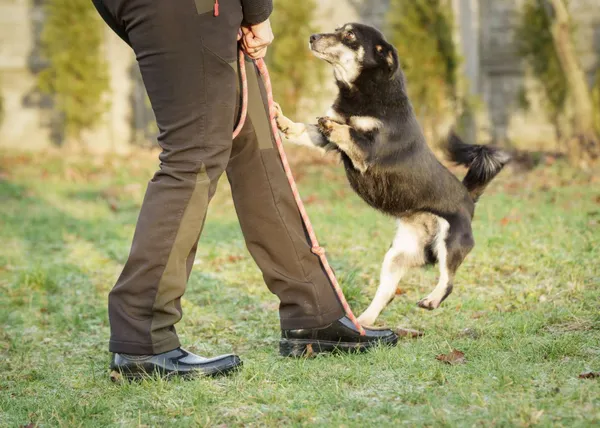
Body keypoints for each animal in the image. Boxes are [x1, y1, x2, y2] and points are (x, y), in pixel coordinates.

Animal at [274, 23, 508, 326]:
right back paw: (364, 321)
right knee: (387, 294)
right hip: (397, 256)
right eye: (337, 29)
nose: (312, 37)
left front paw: (331, 123)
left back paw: (430, 300)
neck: (361, 92)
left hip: (451, 242)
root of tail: (468, 197)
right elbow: (304, 129)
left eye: (349, 35)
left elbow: (347, 130)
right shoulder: (324, 142)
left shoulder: (366, 150)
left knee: (448, 281)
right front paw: (283, 121)